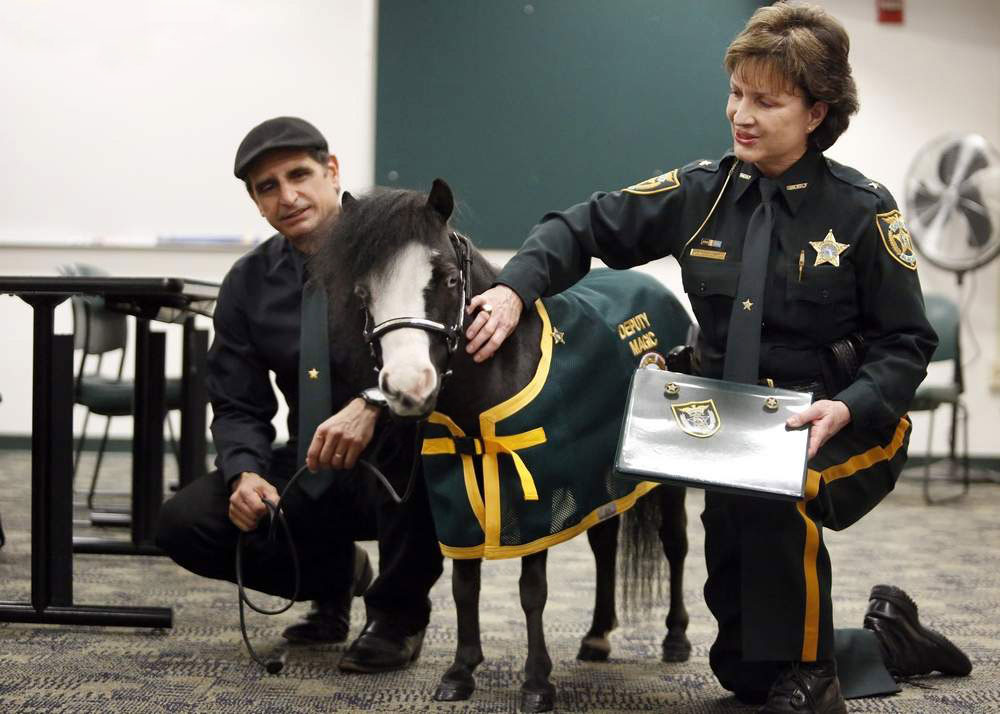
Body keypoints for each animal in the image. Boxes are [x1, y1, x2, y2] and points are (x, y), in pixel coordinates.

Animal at [316, 179, 692, 712]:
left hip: (665, 482)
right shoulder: (457, 498)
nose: (407, 387)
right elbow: (463, 585)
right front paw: (460, 672)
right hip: (599, 481)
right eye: (364, 292)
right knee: (603, 545)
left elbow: (532, 590)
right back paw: (597, 636)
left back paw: (676, 639)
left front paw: (536, 683)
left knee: (675, 545)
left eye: (450, 279)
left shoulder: (540, 500)